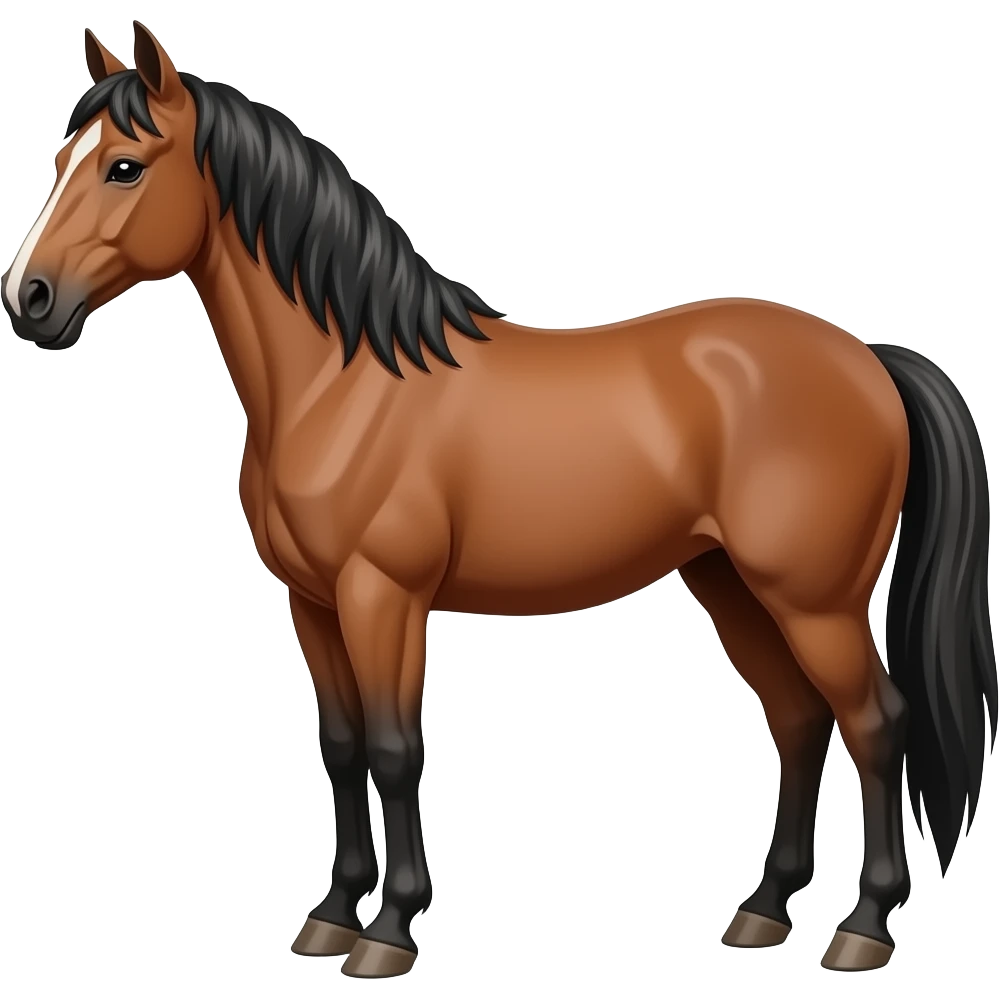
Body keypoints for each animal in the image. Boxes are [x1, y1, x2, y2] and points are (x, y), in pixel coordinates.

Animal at [2, 21, 995, 979]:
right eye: (60, 161)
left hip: (814, 600)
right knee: (798, 723)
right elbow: (343, 747)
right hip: (732, 586)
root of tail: (869, 358)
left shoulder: (383, 596)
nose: (30, 299)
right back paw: (763, 911)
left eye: (125, 166)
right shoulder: (312, 602)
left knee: (876, 724)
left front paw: (388, 933)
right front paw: (331, 915)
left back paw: (862, 929)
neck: (342, 383)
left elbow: (396, 750)